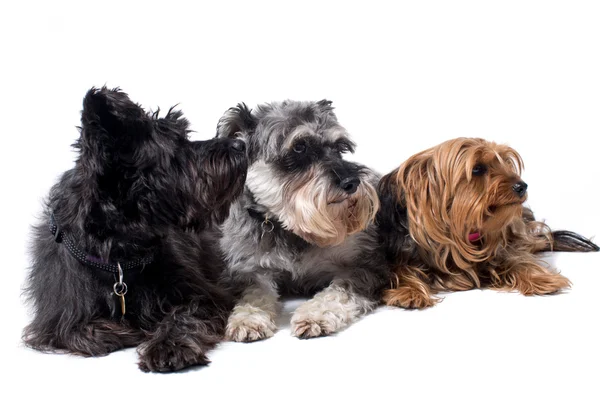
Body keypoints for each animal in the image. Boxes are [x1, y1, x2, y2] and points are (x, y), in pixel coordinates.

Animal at [22, 87, 248, 372]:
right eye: (176, 145)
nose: (240, 144)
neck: (118, 255)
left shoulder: (206, 295)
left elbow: (185, 316)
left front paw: (170, 346)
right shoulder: (57, 316)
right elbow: (78, 331)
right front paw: (126, 331)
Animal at [213, 98, 386, 340]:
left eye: (339, 148)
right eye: (299, 147)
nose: (352, 182)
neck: (290, 227)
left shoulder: (362, 266)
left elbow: (339, 291)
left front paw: (316, 315)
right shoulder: (249, 269)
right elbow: (255, 292)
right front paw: (248, 318)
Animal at [378, 136, 596, 308]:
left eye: (505, 163)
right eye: (477, 169)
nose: (522, 186)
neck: (461, 230)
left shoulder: (501, 245)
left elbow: (518, 259)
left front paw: (541, 278)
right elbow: (401, 271)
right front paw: (409, 292)